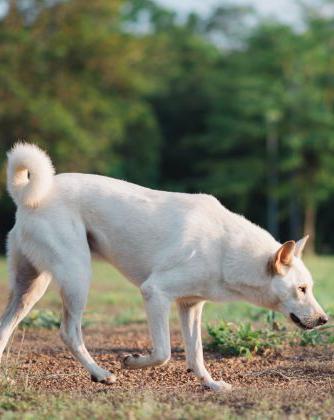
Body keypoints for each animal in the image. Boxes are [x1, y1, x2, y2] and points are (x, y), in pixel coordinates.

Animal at [0, 144, 328, 390]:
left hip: (30, 288)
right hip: (77, 276)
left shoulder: (191, 306)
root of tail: (30, 197)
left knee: (6, 326)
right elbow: (164, 353)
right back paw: (100, 374)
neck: (226, 247)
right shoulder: (155, 293)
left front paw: (211, 385)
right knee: (70, 333)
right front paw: (132, 361)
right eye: (302, 289)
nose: (325, 319)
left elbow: (196, 355)